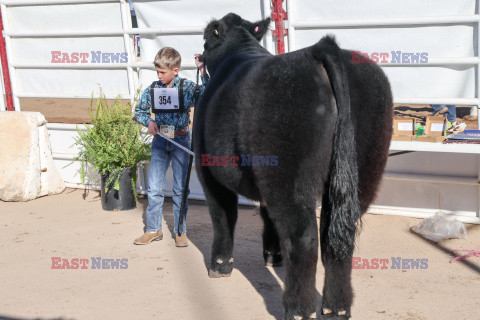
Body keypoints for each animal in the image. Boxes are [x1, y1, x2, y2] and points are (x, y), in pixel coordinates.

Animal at [193, 13, 392, 320]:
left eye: (205, 41)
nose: (199, 56)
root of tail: (321, 48)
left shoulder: (208, 168)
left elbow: (223, 215)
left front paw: (220, 264)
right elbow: (267, 215)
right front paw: (273, 256)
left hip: (288, 174)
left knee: (303, 237)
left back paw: (298, 309)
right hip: (364, 167)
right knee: (336, 237)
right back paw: (336, 308)